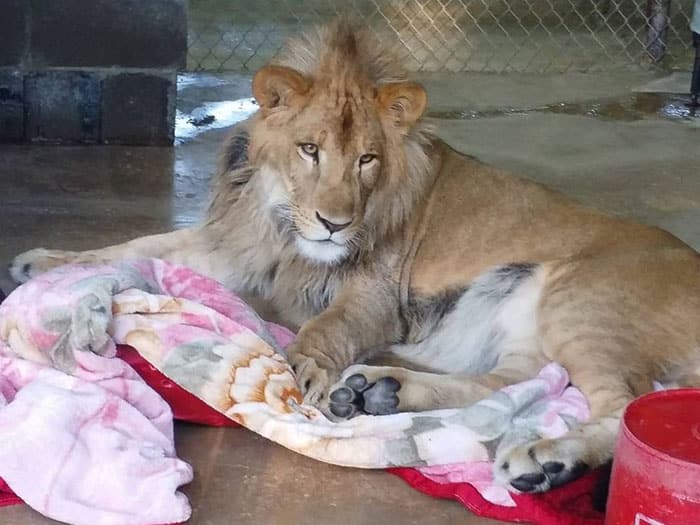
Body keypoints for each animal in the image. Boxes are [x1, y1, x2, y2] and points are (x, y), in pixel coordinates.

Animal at [10, 20, 700, 494]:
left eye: (367, 159)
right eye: (310, 149)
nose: (335, 223)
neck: (282, 220)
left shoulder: (376, 293)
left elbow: (328, 325)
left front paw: (297, 374)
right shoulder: (234, 246)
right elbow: (138, 247)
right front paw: (43, 262)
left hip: (579, 298)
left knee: (620, 406)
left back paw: (544, 460)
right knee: (511, 384)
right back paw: (380, 392)